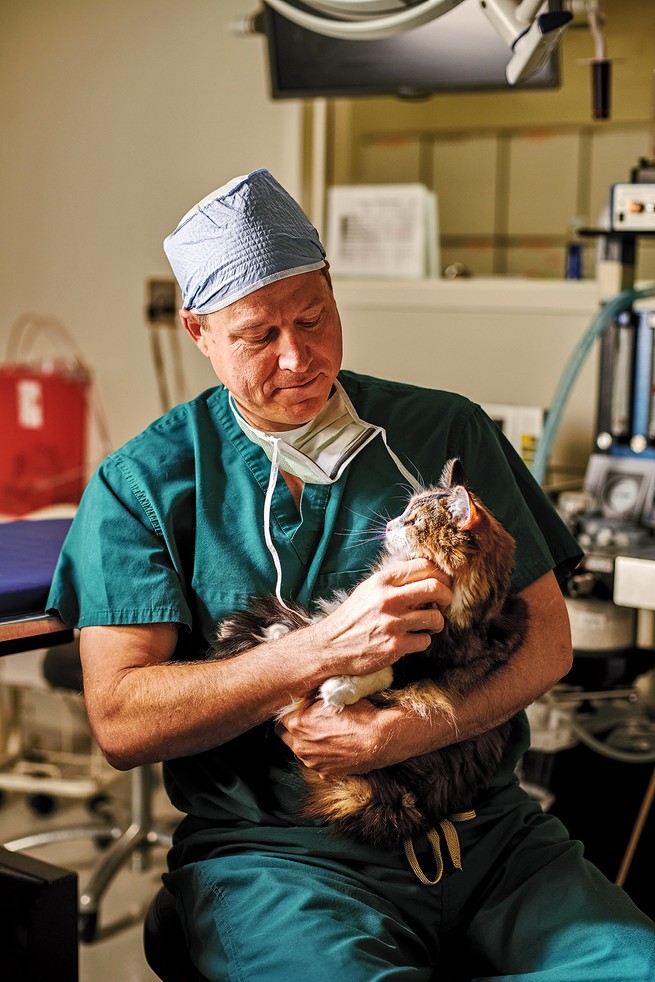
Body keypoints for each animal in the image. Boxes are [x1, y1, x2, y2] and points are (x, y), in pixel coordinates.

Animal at [213, 462, 532, 852]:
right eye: (405, 511)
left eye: (415, 522)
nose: (391, 524)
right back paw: (276, 635)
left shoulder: (427, 661)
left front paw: (337, 690)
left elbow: (381, 672)